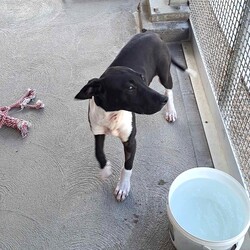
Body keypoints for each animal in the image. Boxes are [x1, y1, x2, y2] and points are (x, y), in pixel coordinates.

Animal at [75, 32, 194, 202]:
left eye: (142, 78)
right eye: (130, 88)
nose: (162, 101)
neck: (113, 113)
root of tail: (152, 33)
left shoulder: (131, 141)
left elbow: (128, 166)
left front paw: (123, 187)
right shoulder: (97, 131)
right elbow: (98, 151)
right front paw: (105, 170)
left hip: (164, 73)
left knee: (169, 89)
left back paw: (171, 110)